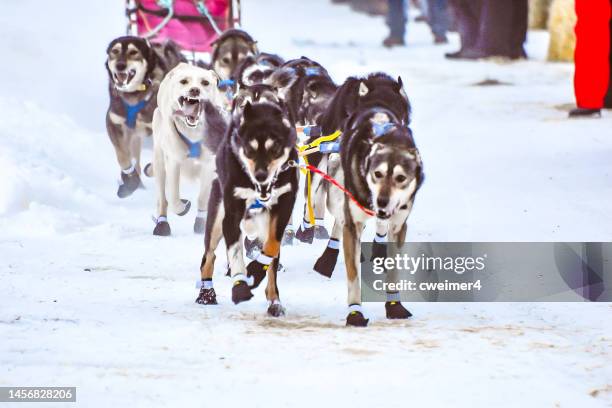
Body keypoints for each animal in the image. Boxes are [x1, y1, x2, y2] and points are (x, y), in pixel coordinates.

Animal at [148, 62, 230, 237]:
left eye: (205, 82)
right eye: (184, 81)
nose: (195, 90)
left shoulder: (209, 165)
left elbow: (203, 197)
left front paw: (201, 221)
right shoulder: (173, 162)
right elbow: (173, 197)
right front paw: (182, 206)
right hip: (159, 162)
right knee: (162, 199)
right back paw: (162, 223)